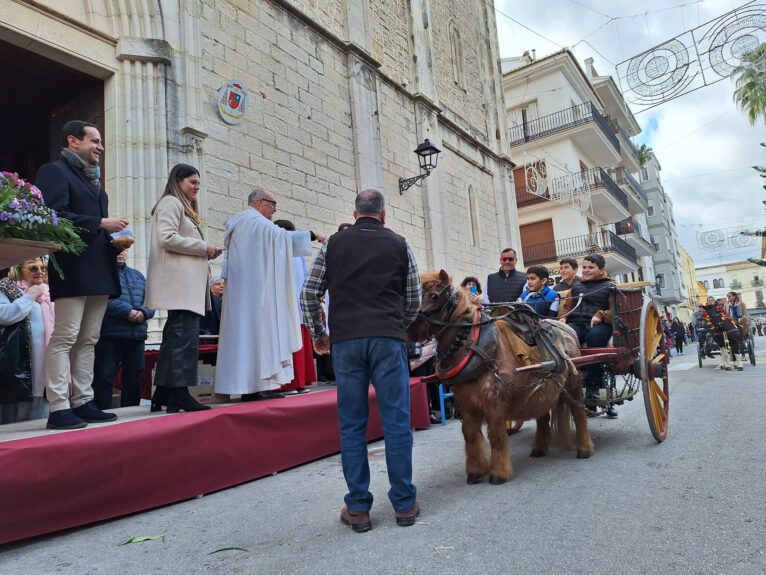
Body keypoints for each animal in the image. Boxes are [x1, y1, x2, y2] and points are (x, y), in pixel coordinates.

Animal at [412, 272, 596, 484]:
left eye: (433, 296)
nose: (407, 323)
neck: (475, 347)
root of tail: (569, 330)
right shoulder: (467, 405)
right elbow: (470, 435)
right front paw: (475, 471)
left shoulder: (495, 404)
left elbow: (495, 436)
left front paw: (498, 473)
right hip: (542, 389)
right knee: (542, 415)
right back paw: (539, 448)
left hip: (572, 385)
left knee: (579, 413)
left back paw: (584, 448)